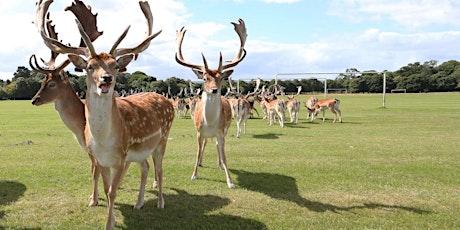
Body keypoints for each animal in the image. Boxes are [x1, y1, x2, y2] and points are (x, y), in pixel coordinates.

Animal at [33, 0, 171, 229]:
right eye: (89, 66)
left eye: (115, 65)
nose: (106, 78)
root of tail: (168, 101)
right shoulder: (100, 158)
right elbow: (107, 189)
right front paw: (105, 211)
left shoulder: (120, 157)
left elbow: (112, 190)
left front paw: (104, 215)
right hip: (141, 150)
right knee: (145, 167)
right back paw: (139, 203)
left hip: (162, 140)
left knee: (159, 169)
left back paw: (160, 203)